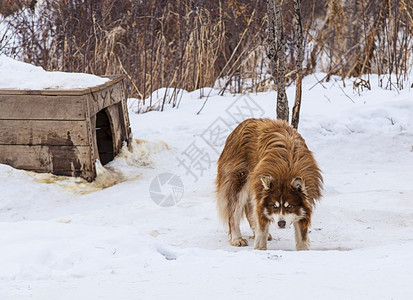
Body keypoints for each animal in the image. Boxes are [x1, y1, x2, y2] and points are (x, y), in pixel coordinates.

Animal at [216, 118, 322, 250]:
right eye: (274, 206)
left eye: (290, 206)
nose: (281, 223)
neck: (286, 172)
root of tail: (239, 126)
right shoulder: (261, 197)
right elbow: (261, 228)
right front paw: (260, 248)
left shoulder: (304, 207)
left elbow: (302, 237)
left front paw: (303, 251)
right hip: (238, 184)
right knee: (234, 214)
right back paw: (237, 239)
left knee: (250, 211)